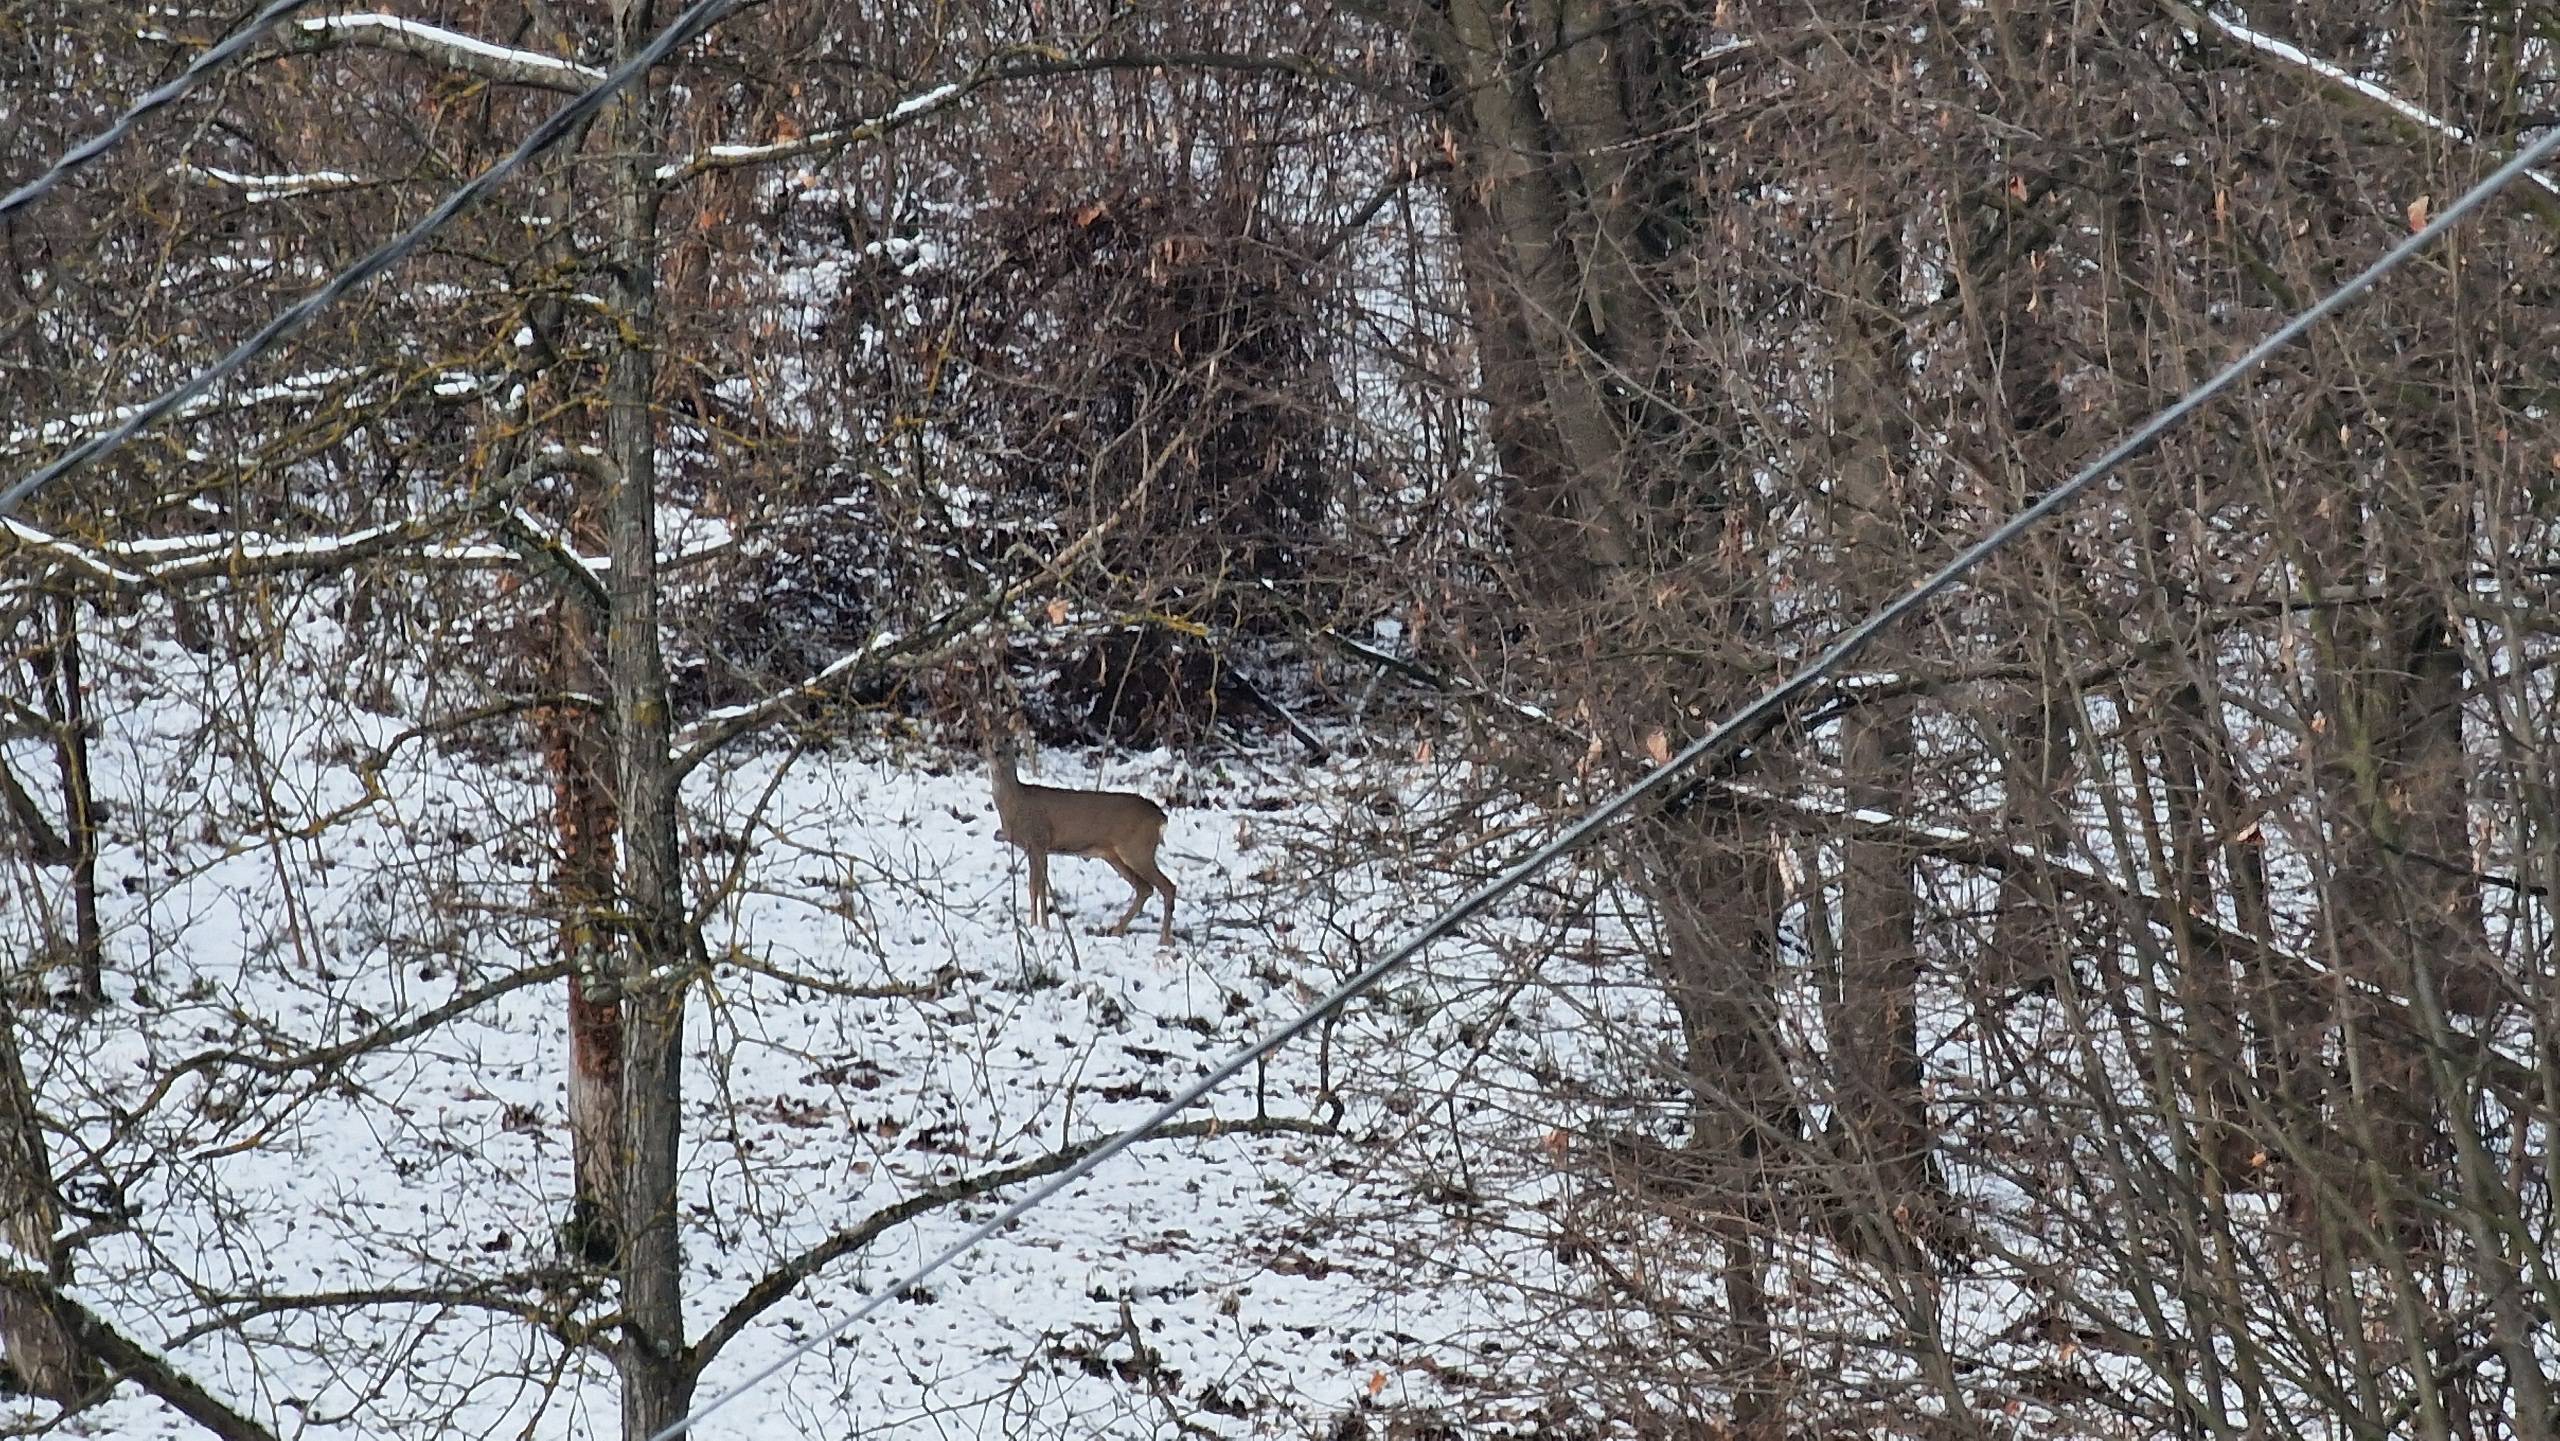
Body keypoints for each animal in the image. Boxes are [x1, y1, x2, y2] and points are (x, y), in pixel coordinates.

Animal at [988, 733, 1177, 944]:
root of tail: (1161, 817)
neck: (1015, 803)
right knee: (1145, 888)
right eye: (988, 739)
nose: (996, 752)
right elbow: (1034, 886)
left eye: (1008, 739)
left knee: (1168, 886)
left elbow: (1039, 887)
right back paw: (1117, 930)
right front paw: (1036, 925)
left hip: (1138, 849)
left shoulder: (1039, 840)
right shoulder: (1033, 847)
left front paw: (1041, 926)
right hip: (1115, 856)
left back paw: (1164, 939)